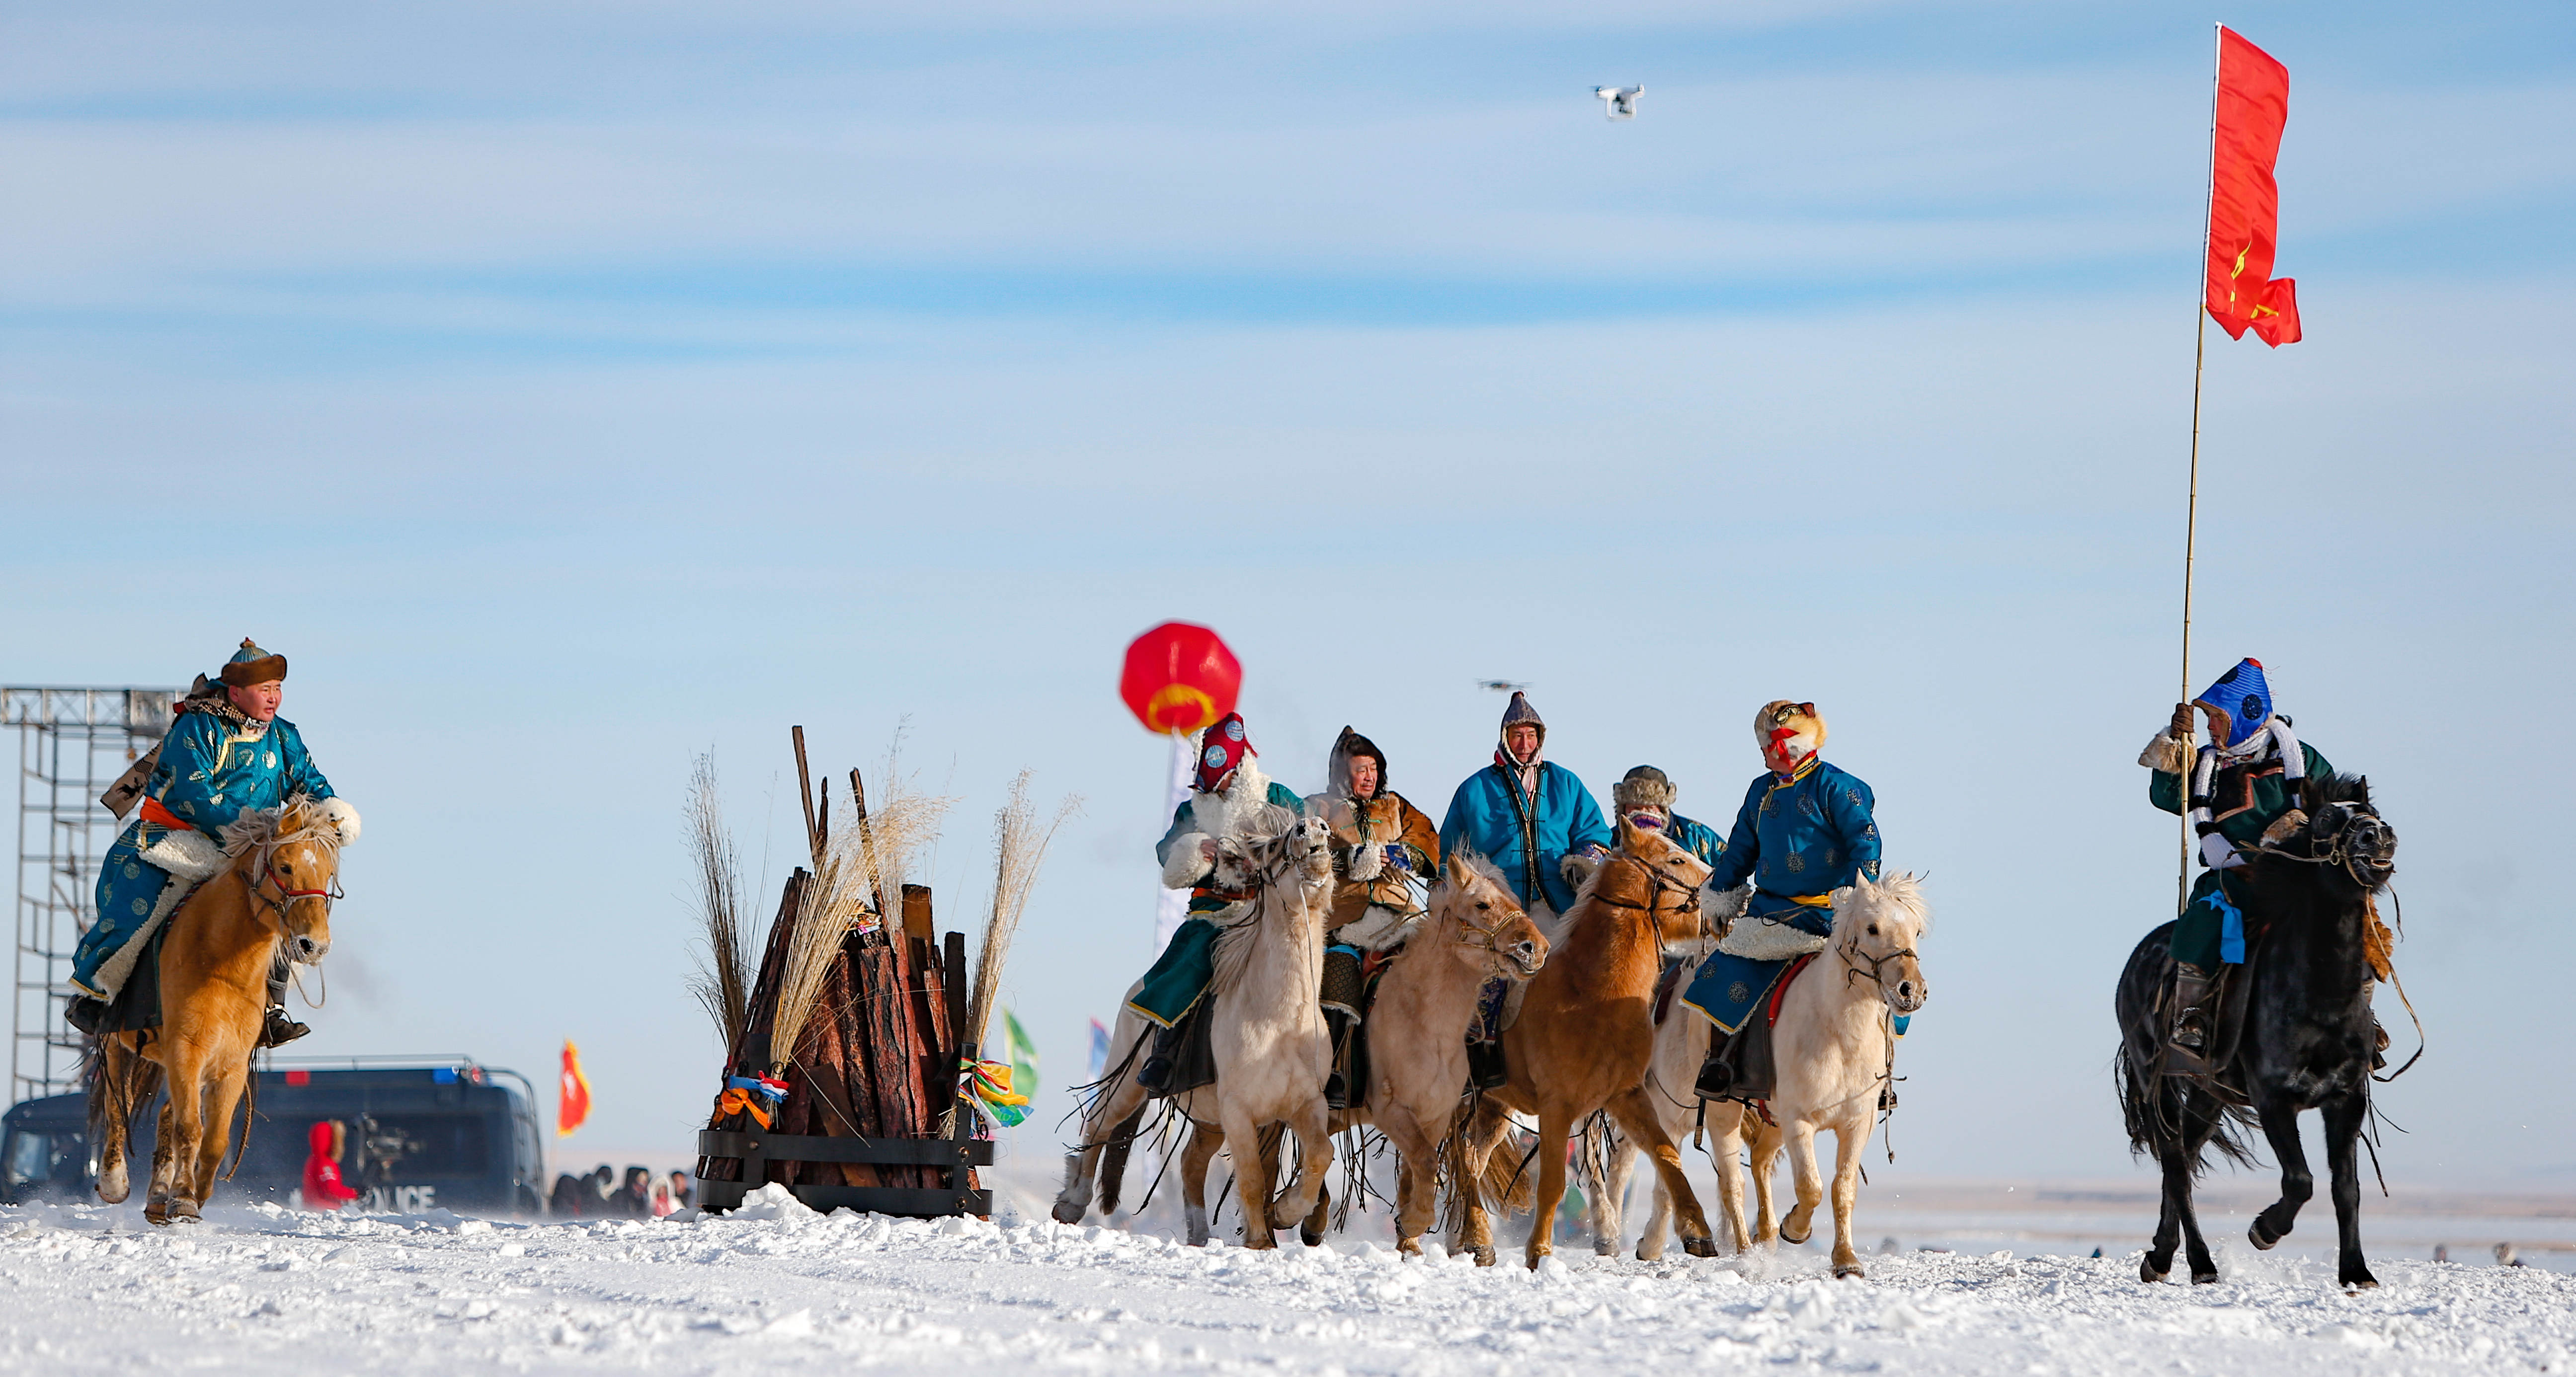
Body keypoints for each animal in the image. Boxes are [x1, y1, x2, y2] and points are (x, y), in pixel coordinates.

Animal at [92, 798, 345, 1230]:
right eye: (285, 867)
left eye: (328, 873)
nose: (314, 945)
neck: (223, 964)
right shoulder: (185, 1049)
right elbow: (189, 1129)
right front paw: (183, 1200)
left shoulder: (231, 1065)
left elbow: (214, 1141)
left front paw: (192, 1195)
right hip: (117, 1040)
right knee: (117, 1101)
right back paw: (114, 1182)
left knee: (165, 1113)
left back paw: (157, 1198)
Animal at [1463, 818, 1720, 1271]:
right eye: (1676, 859)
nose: (1740, 894)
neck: (1591, 995)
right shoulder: (1557, 1106)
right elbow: (1552, 1183)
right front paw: (1539, 1252)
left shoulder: (1627, 1096)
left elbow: (1666, 1155)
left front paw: (1698, 1233)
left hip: (1492, 1107)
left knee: (1470, 1163)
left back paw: (1476, 1241)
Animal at [1741, 875, 1927, 1282]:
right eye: (1872, 928)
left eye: (1917, 930)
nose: (1911, 991)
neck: (1838, 1035)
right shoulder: (1798, 1120)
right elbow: (1810, 1186)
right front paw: (1796, 1229)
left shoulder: (1858, 1121)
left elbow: (1844, 1188)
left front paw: (1846, 1259)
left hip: (1772, 1118)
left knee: (1760, 1159)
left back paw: (1764, 1235)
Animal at [2112, 777, 2390, 1292]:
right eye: (2327, 819)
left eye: (2373, 813)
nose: (2377, 836)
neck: (2320, 997)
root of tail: (2137, 959)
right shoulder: (2274, 1097)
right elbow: (2300, 1179)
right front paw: (2265, 1229)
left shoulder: (2346, 1098)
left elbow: (2347, 1188)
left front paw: (2357, 1272)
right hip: (2159, 1084)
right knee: (2176, 1165)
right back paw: (2201, 1263)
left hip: (2208, 1094)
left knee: (2181, 1159)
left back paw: (2160, 1256)